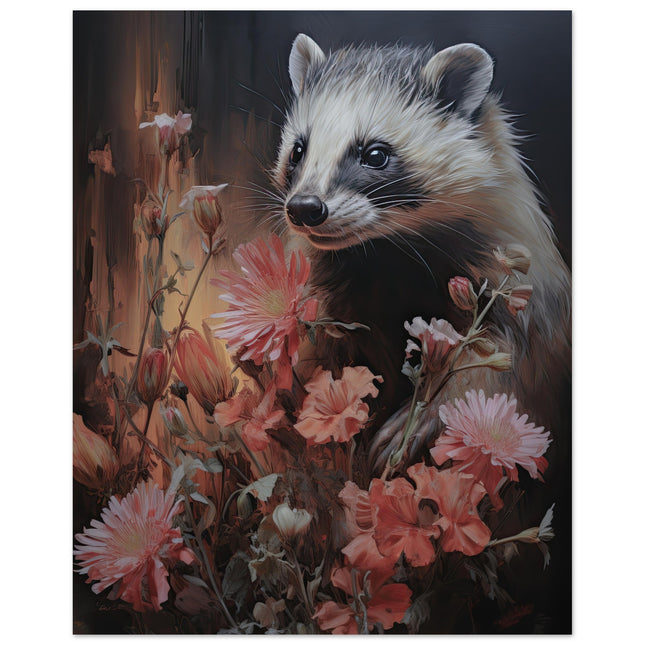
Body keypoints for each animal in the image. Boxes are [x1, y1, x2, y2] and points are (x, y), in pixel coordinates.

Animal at [273, 34, 571, 467]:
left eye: (375, 153)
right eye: (298, 150)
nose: (304, 207)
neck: (390, 268)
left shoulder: (525, 302)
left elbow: (500, 371)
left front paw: (425, 419)